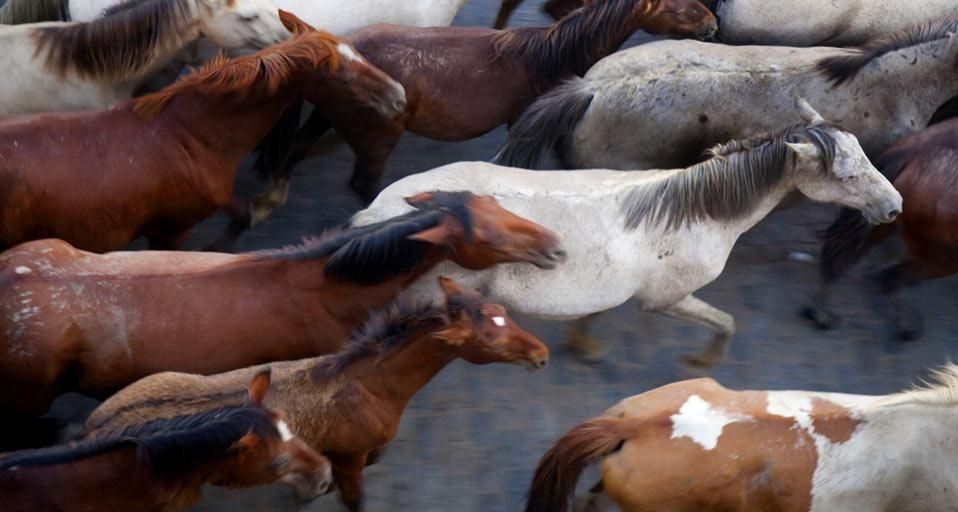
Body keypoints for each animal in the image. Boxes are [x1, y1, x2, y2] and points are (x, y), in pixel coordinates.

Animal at [83, 276, 550, 512]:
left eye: (504, 313)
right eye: (489, 339)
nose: (541, 354)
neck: (368, 386)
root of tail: (93, 428)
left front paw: (310, 487)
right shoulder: (351, 458)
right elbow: (355, 497)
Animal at [252, 0, 717, 205]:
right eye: (679, 7)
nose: (713, 24)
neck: (550, 56)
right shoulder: (524, 122)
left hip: (324, 117)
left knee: (296, 152)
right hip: (376, 138)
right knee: (362, 185)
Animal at [353, 101, 902, 366]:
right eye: (845, 175)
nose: (894, 207)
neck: (693, 213)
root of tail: (380, 211)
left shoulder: (614, 285)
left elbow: (595, 312)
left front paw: (585, 347)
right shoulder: (667, 299)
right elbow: (725, 323)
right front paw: (702, 361)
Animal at [804, 118, 958, 341]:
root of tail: (912, 154)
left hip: (880, 221)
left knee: (838, 256)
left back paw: (820, 311)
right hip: (942, 258)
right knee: (889, 278)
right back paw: (905, 326)